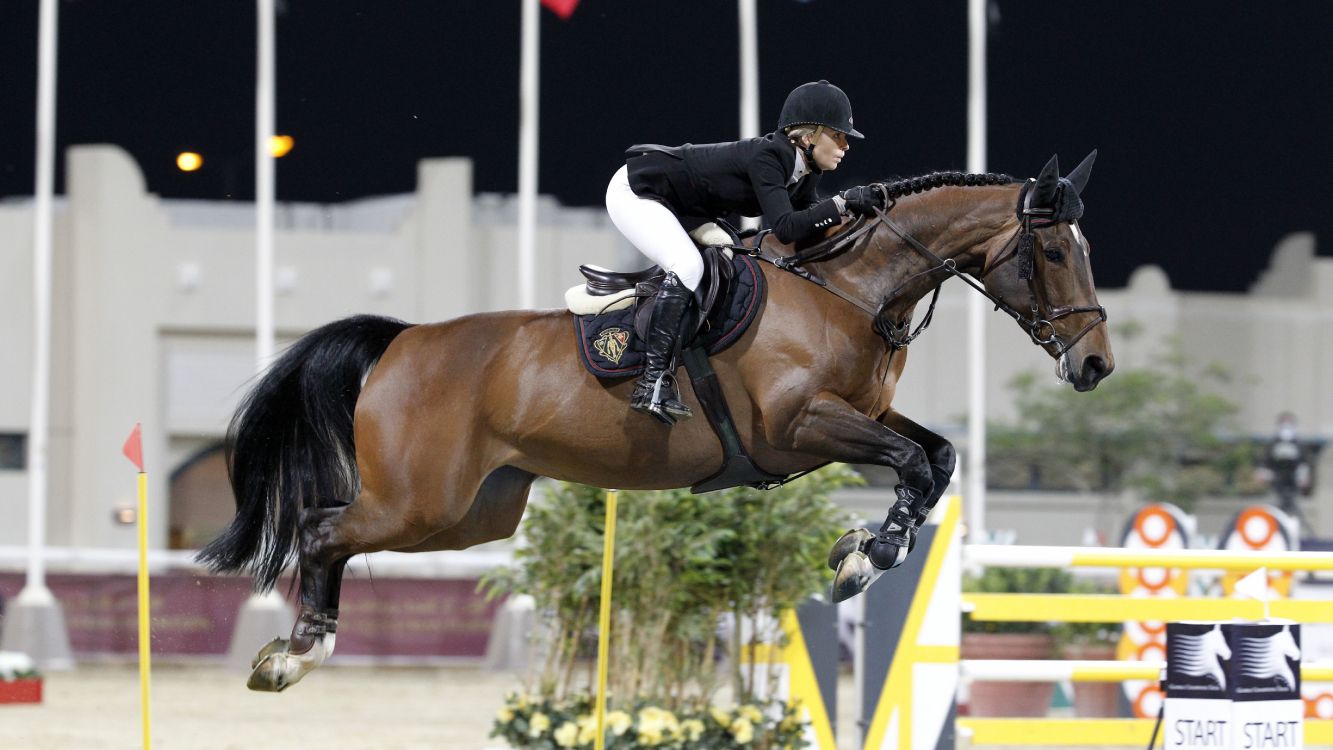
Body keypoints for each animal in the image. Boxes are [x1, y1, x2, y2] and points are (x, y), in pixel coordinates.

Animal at [197, 152, 1114, 692]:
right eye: (1054, 251)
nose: (1095, 366)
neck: (849, 288)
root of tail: (403, 340)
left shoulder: (861, 415)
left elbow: (937, 456)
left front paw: (862, 549)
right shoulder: (799, 425)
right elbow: (914, 464)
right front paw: (866, 558)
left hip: (471, 514)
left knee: (338, 532)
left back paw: (297, 649)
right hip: (420, 500)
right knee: (320, 530)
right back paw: (295, 652)